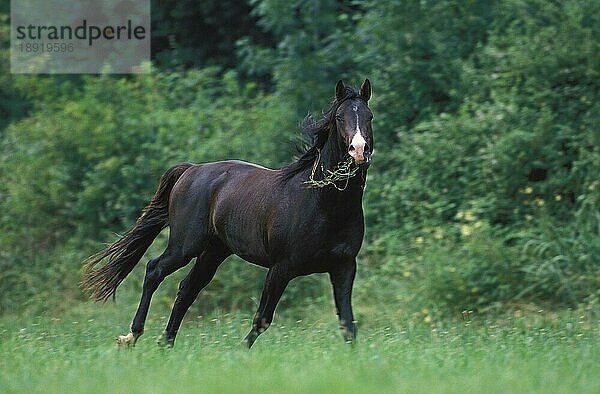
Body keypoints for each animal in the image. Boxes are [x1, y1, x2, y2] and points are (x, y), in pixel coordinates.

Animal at [82, 79, 372, 348]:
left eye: (369, 116)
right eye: (339, 117)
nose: (359, 150)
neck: (324, 204)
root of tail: (191, 170)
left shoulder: (344, 267)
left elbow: (348, 324)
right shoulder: (281, 268)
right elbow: (262, 319)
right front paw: (240, 352)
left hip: (214, 250)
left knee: (187, 289)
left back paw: (166, 343)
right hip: (185, 245)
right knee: (155, 270)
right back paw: (132, 336)